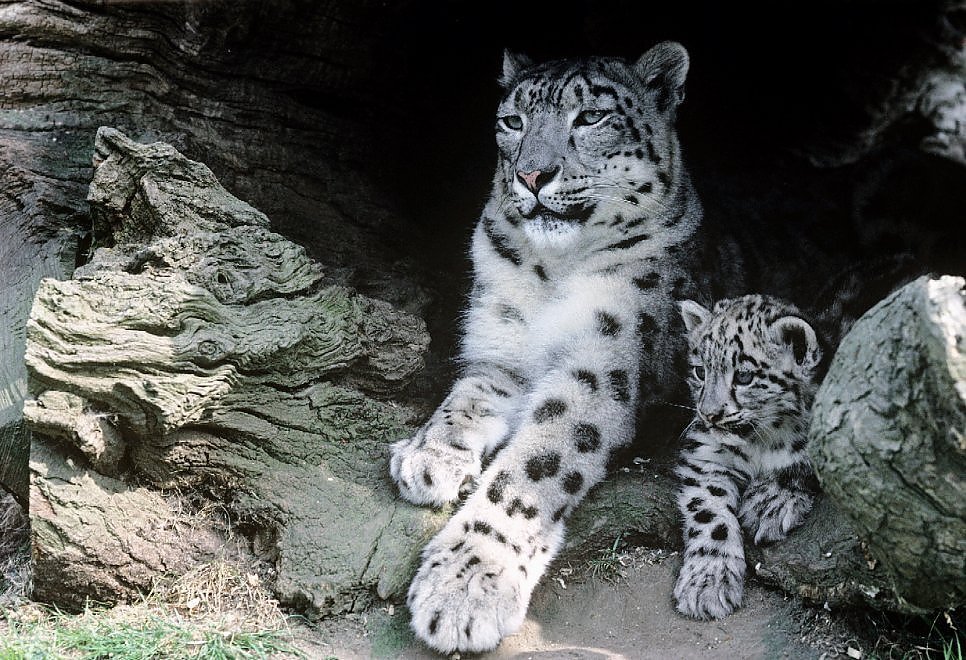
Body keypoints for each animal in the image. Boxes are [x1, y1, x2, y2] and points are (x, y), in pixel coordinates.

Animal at [388, 41, 703, 654]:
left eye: (592, 117)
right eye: (512, 121)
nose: (533, 173)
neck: (553, 267)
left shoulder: (597, 369)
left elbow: (529, 472)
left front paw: (466, 583)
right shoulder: (500, 350)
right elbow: (463, 401)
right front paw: (427, 456)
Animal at [673, 294, 822, 620]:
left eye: (743, 375)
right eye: (700, 371)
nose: (709, 414)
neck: (760, 441)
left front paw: (768, 503)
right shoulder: (707, 455)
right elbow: (708, 511)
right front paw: (707, 581)